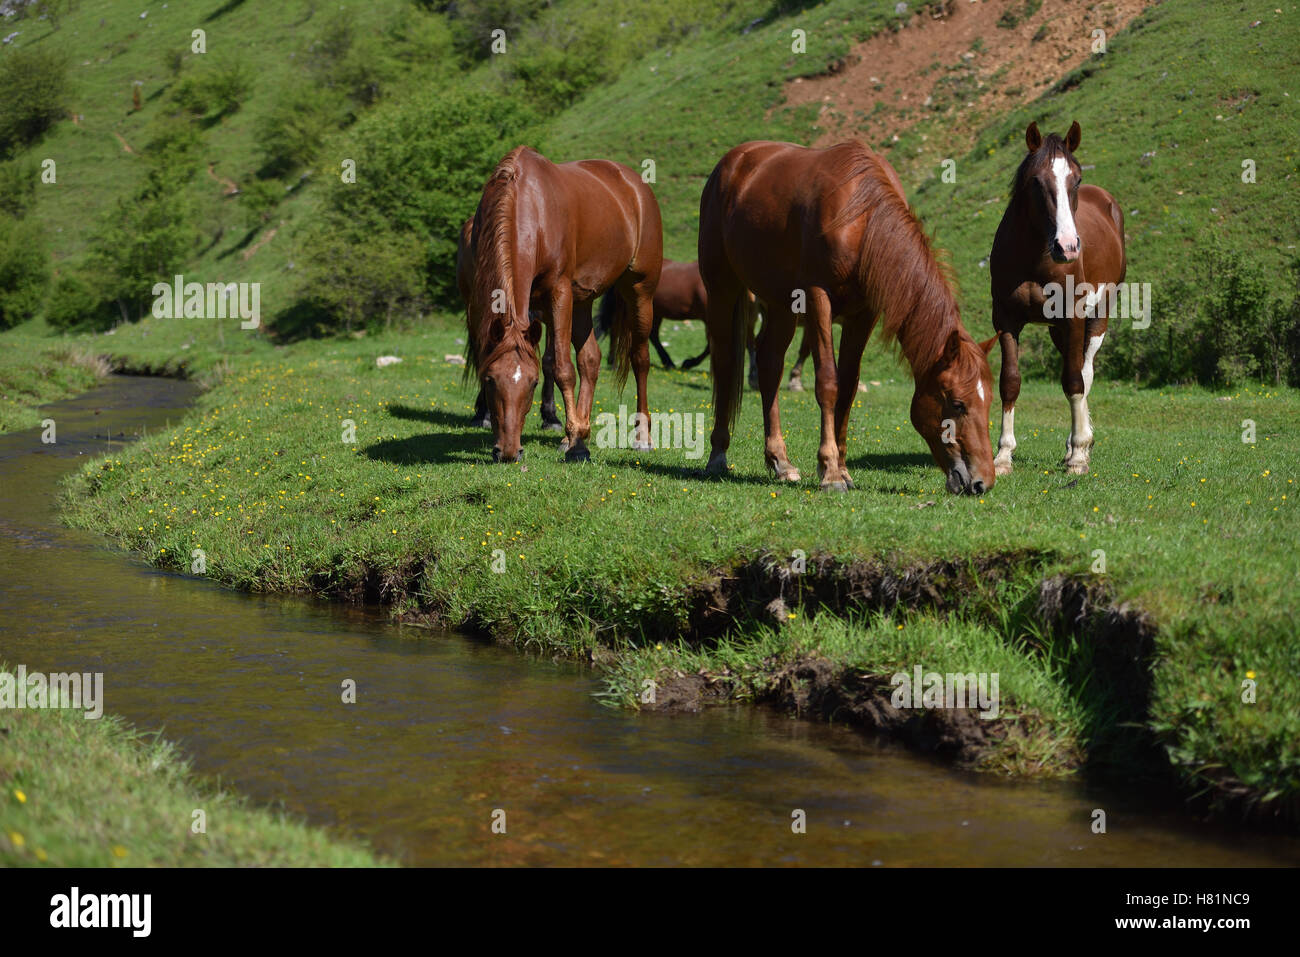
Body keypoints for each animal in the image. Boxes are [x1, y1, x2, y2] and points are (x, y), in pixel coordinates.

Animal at [466, 146, 662, 463]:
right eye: (489, 380)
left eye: (533, 383)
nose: (508, 452)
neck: (527, 205)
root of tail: (634, 184)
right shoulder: (482, 294)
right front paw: (574, 436)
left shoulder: (560, 292)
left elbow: (562, 368)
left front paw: (577, 446)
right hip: (582, 300)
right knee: (591, 359)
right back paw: (578, 431)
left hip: (640, 291)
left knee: (640, 359)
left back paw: (640, 436)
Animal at [593, 258, 761, 387]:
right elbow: (712, 346)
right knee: (616, 330)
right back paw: (614, 361)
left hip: (655, 312)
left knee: (652, 336)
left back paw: (667, 362)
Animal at [698, 140, 996, 494]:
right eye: (958, 403)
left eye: (989, 401)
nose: (982, 482)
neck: (861, 218)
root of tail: (732, 162)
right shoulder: (817, 299)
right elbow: (828, 382)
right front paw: (829, 472)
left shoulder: (864, 314)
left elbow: (849, 387)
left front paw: (842, 468)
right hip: (722, 289)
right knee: (724, 363)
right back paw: (718, 455)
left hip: (782, 306)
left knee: (770, 366)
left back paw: (780, 462)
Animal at [989, 121, 1126, 475]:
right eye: (1036, 181)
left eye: (1075, 179)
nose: (1067, 246)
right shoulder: (1006, 320)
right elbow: (1010, 381)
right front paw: (1003, 455)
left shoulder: (1073, 316)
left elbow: (1074, 382)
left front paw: (1078, 456)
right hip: (1055, 329)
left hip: (1099, 315)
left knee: (1084, 372)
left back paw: (1080, 445)